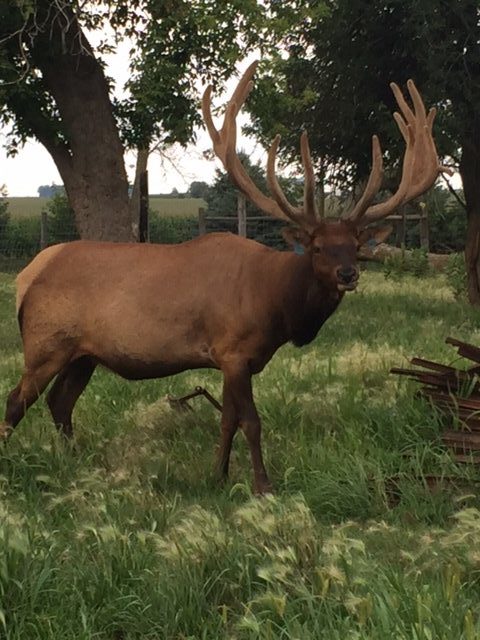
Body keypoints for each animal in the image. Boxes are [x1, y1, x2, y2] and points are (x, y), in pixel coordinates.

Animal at [1, 62, 448, 492]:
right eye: (318, 247)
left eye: (355, 245)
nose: (348, 273)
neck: (275, 304)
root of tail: (26, 277)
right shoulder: (232, 350)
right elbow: (251, 421)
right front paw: (262, 486)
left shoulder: (235, 359)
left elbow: (227, 419)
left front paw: (218, 476)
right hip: (45, 342)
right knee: (17, 399)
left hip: (84, 354)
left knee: (60, 402)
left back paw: (77, 462)